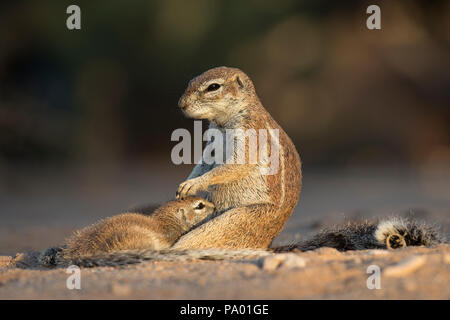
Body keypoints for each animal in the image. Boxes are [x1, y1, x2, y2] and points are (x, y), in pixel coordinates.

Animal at [172, 65, 302, 250]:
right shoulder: (212, 143)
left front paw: (194, 183)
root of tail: (267, 242)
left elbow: (237, 164)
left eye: (213, 87)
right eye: (191, 81)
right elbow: (204, 163)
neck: (222, 122)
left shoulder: (250, 130)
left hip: (235, 222)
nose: (181, 104)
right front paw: (186, 184)